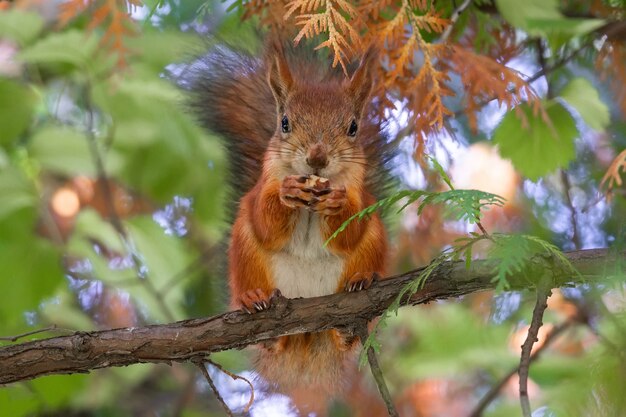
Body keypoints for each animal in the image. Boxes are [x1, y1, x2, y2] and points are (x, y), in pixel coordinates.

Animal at [188, 41, 388, 400]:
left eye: (353, 127)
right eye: (284, 123)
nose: (317, 157)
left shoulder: (365, 203)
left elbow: (350, 231)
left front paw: (337, 204)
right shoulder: (258, 194)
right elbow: (264, 222)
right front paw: (287, 193)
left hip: (373, 245)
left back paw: (356, 298)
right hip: (247, 255)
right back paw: (255, 304)